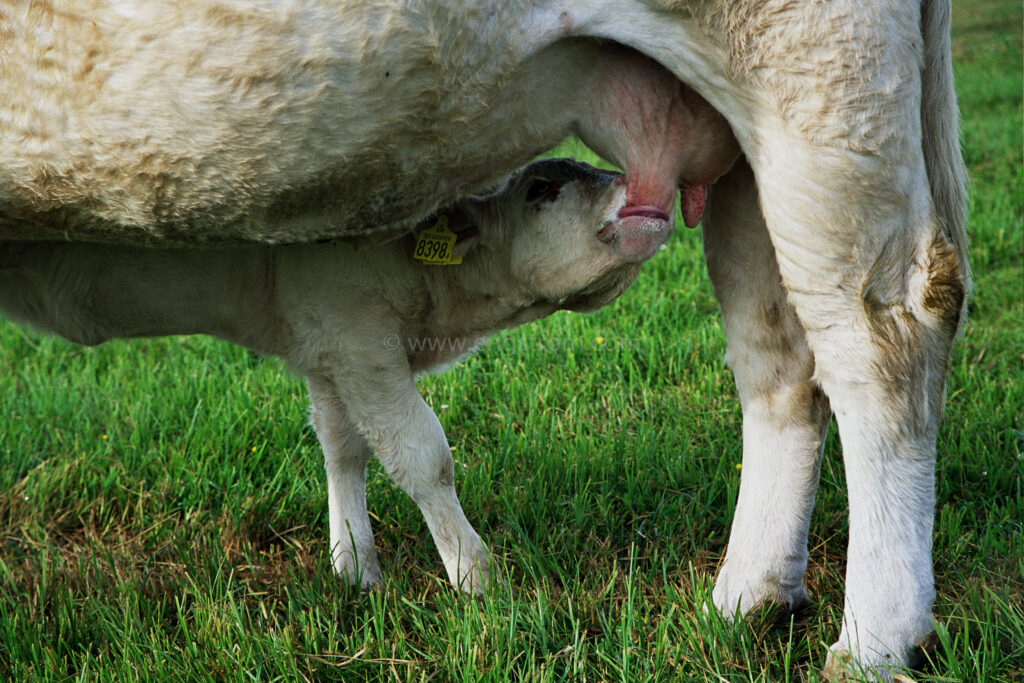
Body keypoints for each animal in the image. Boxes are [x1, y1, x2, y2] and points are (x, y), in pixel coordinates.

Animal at [0, 0, 966, 679]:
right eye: (542, 186)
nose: (628, 198)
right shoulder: (331, 333)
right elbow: (345, 443)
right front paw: (355, 565)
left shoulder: (357, 342)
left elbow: (420, 453)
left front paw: (475, 579)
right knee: (779, 362)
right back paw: (746, 599)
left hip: (817, 87)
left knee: (882, 343)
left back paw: (872, 640)